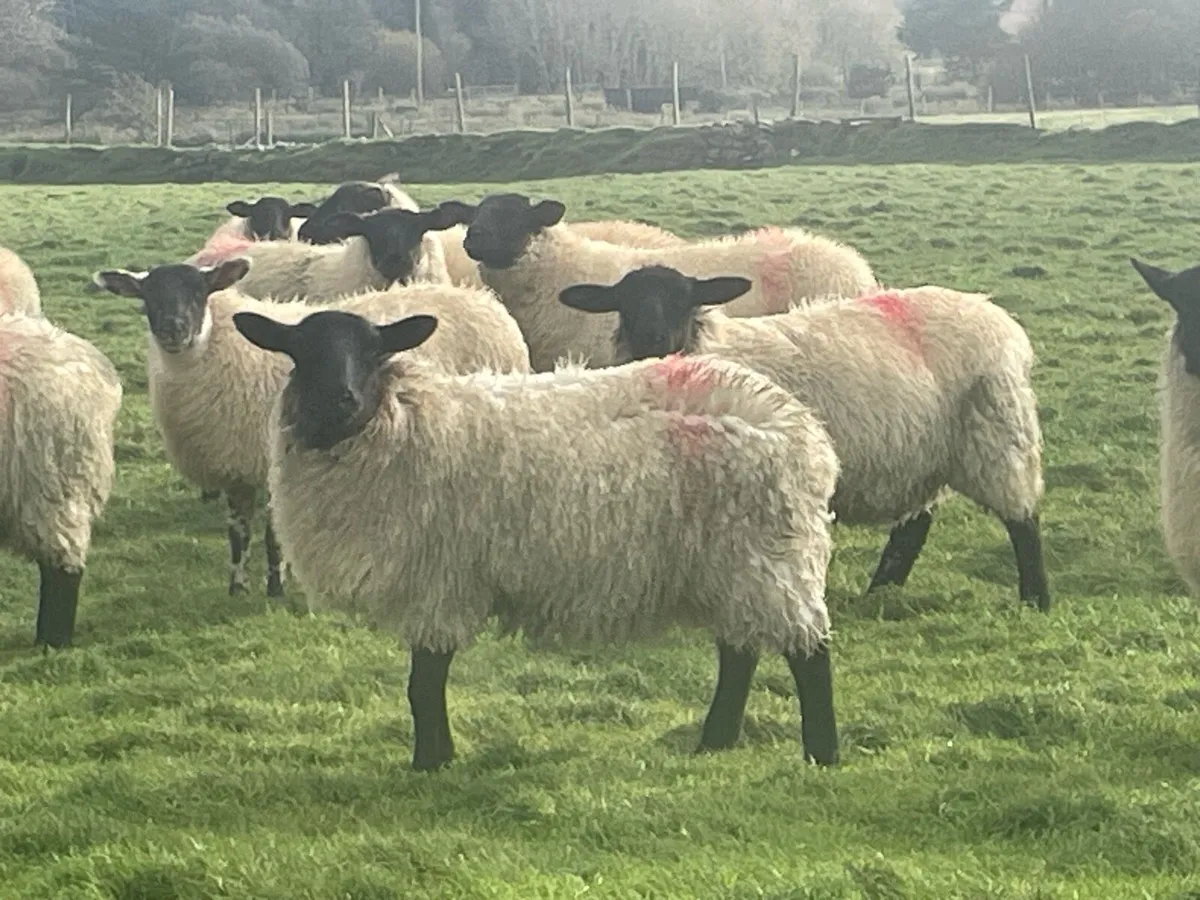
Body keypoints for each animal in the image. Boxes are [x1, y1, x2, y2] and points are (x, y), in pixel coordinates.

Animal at [89, 257, 530, 598]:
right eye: (147, 296)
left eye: (201, 291)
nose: (174, 329)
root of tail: (482, 299)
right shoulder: (233, 466)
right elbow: (237, 532)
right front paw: (237, 585)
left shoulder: (271, 460)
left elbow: (272, 534)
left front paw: (275, 585)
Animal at [232, 307, 842, 771]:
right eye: (300, 352)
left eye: (373, 351)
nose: (339, 399)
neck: (403, 423)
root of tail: (797, 424)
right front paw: (438, 758)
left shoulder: (439, 582)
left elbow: (423, 684)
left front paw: (430, 762)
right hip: (731, 562)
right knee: (739, 651)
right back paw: (714, 742)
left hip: (767, 552)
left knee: (808, 652)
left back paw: (822, 755)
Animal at [559, 265, 1050, 610]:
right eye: (623, 303)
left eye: (685, 299)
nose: (654, 337)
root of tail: (994, 314)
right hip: (921, 452)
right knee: (913, 527)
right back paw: (881, 592)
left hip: (997, 429)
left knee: (1022, 519)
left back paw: (1035, 599)